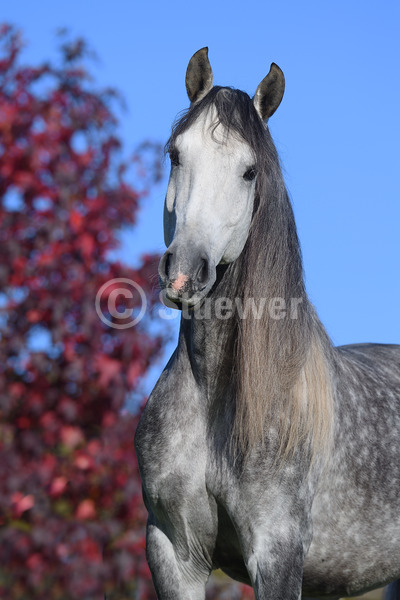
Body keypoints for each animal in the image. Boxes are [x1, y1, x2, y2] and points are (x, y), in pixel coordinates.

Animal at [135, 48, 400, 600]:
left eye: (249, 171)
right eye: (175, 155)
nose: (184, 271)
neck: (215, 395)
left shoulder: (277, 553)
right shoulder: (173, 552)